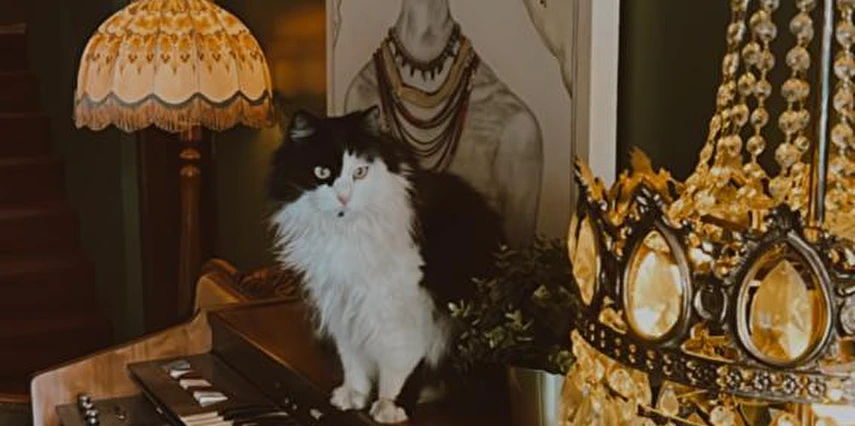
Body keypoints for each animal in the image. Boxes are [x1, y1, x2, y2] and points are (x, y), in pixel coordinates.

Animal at [268, 106, 504, 424]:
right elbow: (352, 360)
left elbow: (398, 364)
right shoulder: (343, 304)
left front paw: (389, 406)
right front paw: (353, 396)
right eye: (322, 172)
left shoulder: (402, 308)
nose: (344, 197)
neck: (348, 235)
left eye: (360, 172)